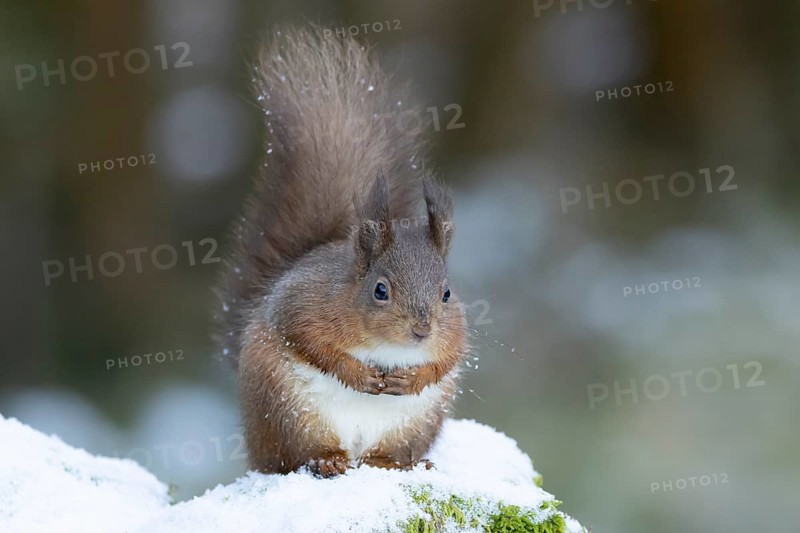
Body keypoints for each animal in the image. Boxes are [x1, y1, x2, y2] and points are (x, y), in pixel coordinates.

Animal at [216, 26, 468, 477]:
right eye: (380, 290)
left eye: (446, 294)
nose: (422, 331)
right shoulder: (303, 303)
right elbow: (308, 340)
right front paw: (357, 373)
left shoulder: (456, 331)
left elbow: (448, 358)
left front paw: (412, 378)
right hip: (290, 415)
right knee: (296, 456)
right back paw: (327, 460)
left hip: (412, 426)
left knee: (383, 456)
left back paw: (398, 465)